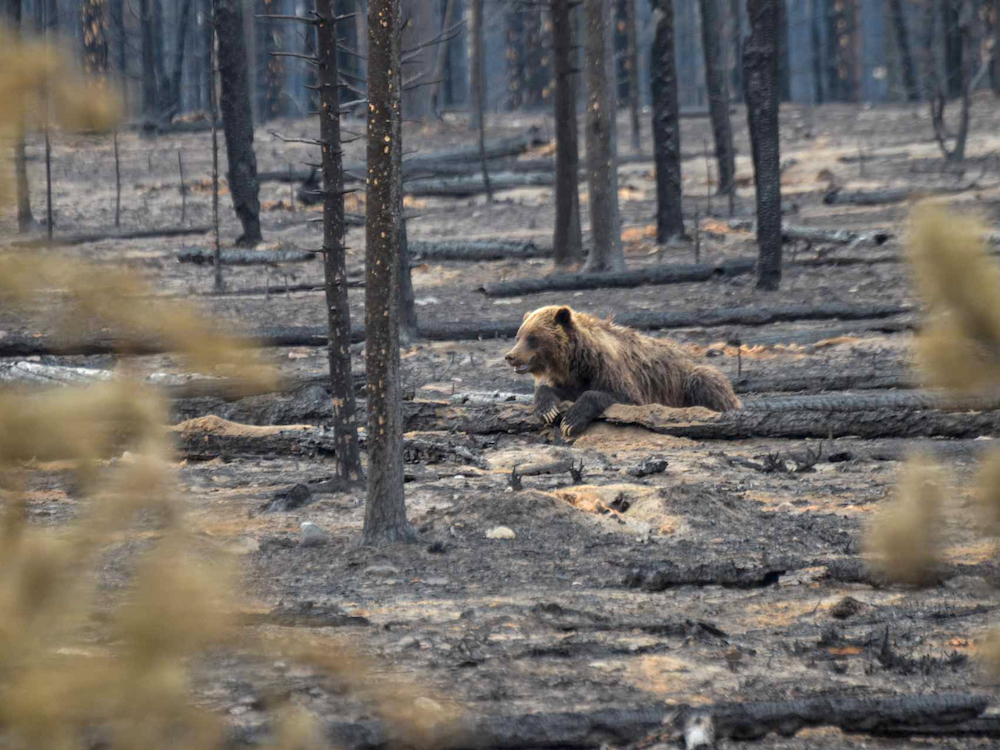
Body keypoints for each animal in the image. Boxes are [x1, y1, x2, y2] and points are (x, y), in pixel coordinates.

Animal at [504, 305, 741, 437]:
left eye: (532, 337)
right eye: (518, 336)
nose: (510, 356)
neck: (575, 361)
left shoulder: (609, 370)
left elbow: (620, 396)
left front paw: (571, 421)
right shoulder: (568, 379)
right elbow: (552, 391)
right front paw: (547, 410)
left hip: (689, 379)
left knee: (706, 381)